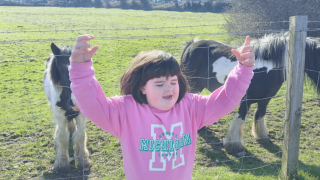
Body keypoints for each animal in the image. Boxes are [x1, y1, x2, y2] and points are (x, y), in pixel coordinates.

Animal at [43, 42, 90, 172]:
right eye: (61, 69)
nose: (75, 102)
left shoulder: (81, 115)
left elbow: (80, 135)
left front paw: (83, 160)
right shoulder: (59, 115)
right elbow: (62, 136)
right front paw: (61, 163)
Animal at [180, 32, 320, 152]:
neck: (266, 68)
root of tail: (192, 44)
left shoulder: (264, 100)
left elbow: (259, 115)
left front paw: (262, 136)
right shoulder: (245, 101)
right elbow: (239, 118)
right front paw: (233, 144)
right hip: (194, 85)